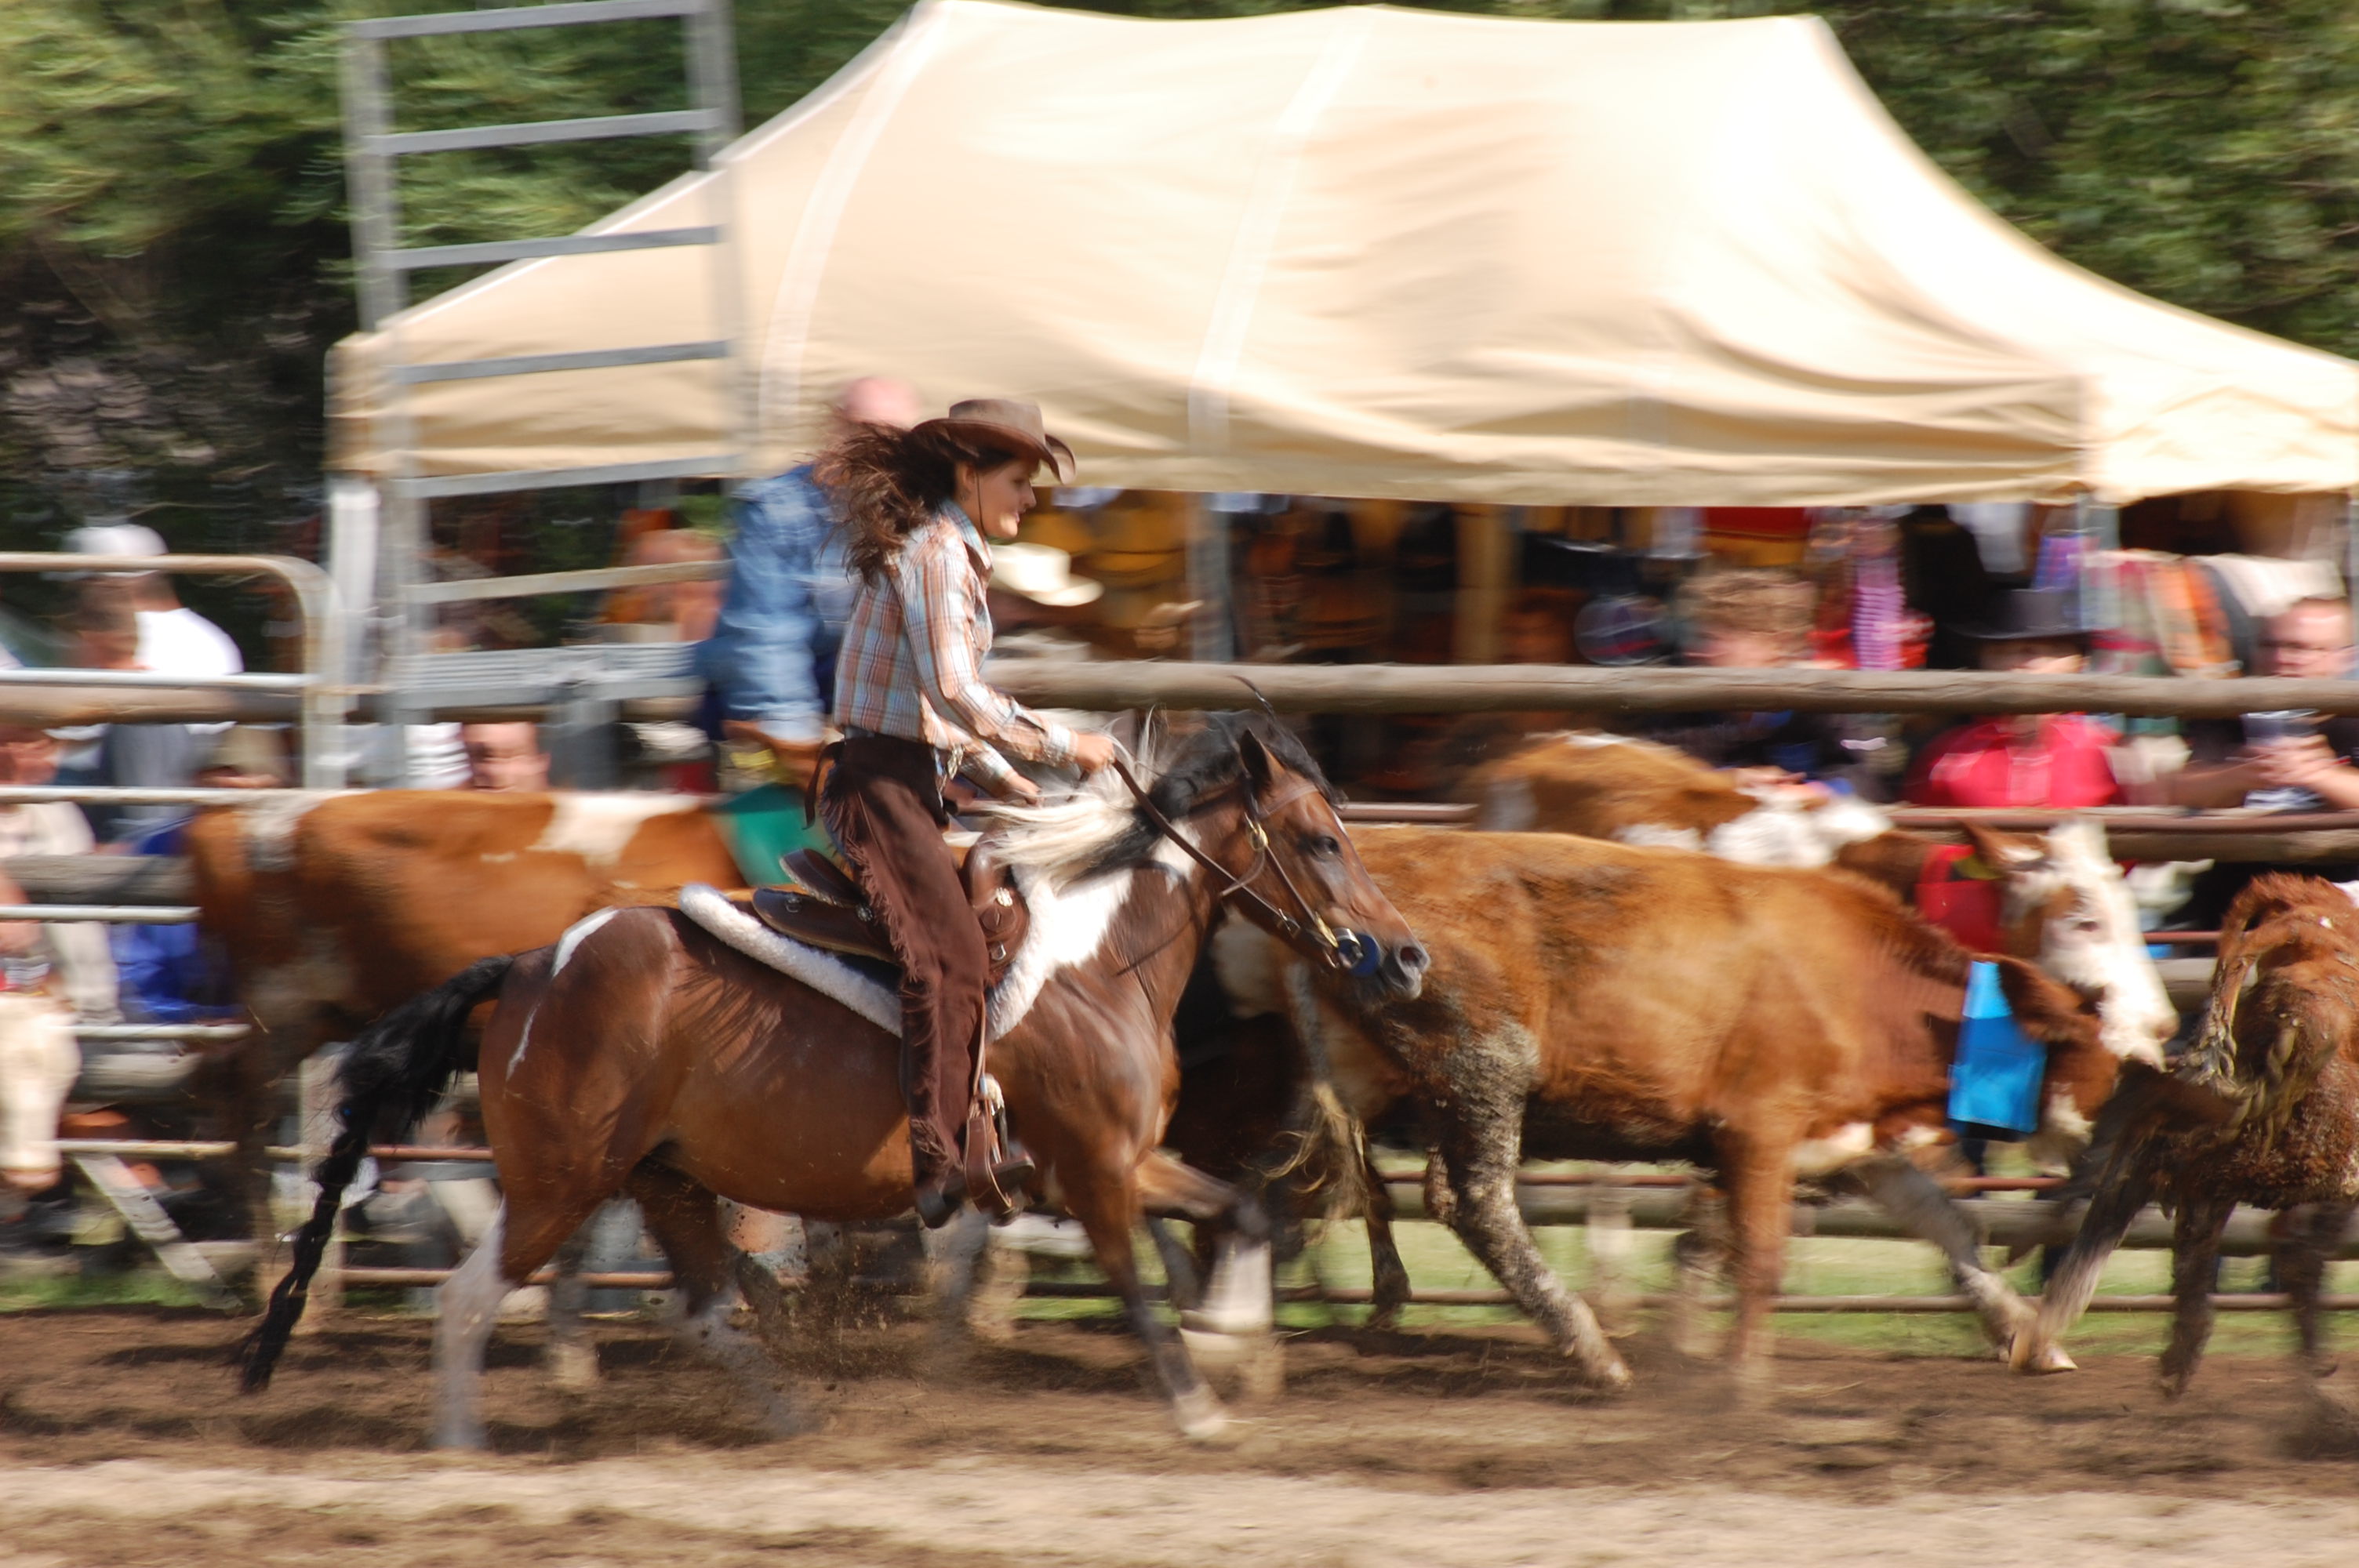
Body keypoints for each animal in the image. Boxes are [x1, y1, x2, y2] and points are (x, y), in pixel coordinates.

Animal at [244, 721, 1415, 1443]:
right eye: (1319, 838)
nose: (1403, 957)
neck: (1093, 962)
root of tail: (533, 967)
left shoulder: (1124, 1162)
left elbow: (1246, 1211)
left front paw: (1237, 1348)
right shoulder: (1093, 1172)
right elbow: (1137, 1289)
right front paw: (1199, 1402)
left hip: (662, 1178)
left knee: (699, 1309)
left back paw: (794, 1422)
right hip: (557, 1184)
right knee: (468, 1299)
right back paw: (461, 1445)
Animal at [1245, 825, 2151, 1386]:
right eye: (2083, 917)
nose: (2154, 1034)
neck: (1862, 978)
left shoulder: (1846, 1136)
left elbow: (1946, 1223)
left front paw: (2025, 1331)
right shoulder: (1756, 1131)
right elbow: (1753, 1251)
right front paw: (1725, 1364)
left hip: (1358, 1079)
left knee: (1286, 1180)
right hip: (1485, 1070)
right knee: (1474, 1204)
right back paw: (1589, 1346)